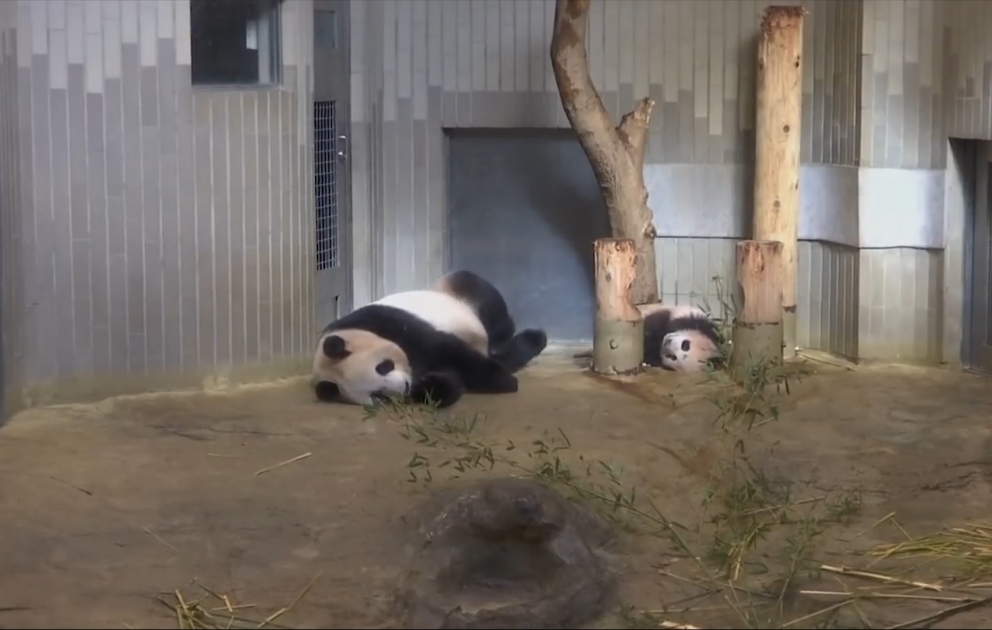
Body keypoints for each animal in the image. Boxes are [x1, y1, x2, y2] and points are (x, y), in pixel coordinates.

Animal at [311, 270, 548, 409]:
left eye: (383, 367)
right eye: (379, 395)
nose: (404, 386)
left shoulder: (392, 325)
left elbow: (450, 351)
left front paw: (504, 381)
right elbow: (446, 384)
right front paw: (432, 385)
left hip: (460, 298)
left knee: (492, 314)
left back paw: (532, 338)